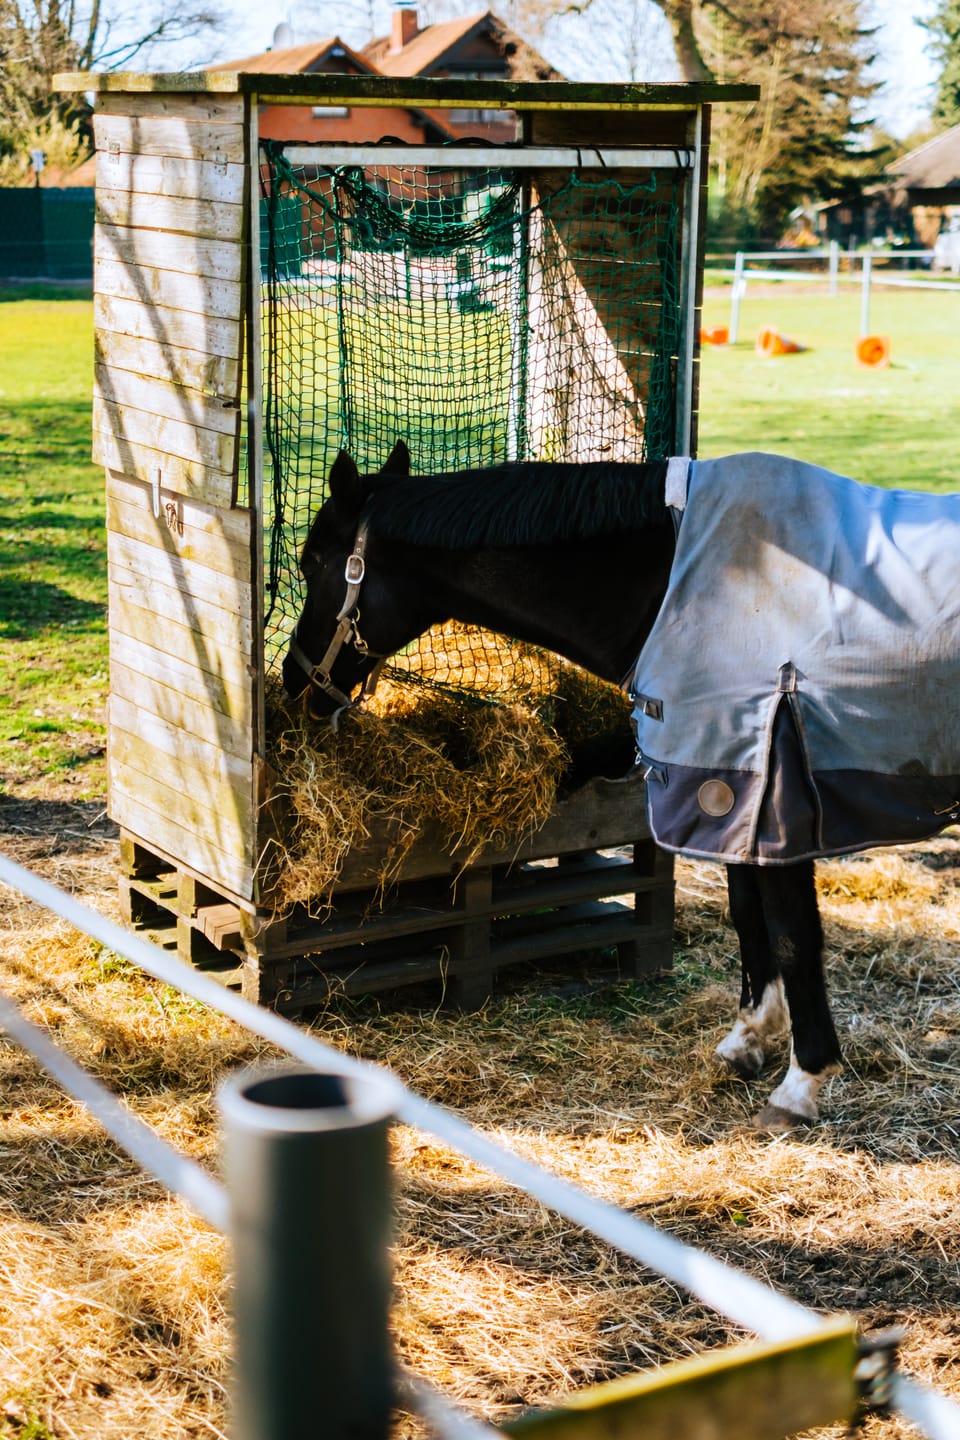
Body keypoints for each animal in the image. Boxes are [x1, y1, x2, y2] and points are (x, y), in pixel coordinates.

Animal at [282, 440, 960, 1130]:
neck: (691, 584)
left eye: (313, 563)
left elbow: (795, 933)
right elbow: (749, 914)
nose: (295, 683)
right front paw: (748, 1039)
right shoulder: (727, 789)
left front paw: (802, 1082)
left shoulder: (775, 807)